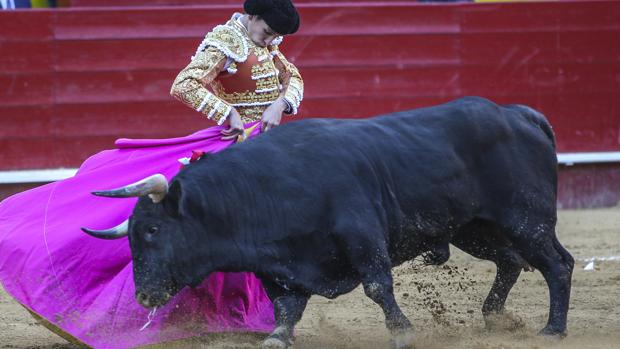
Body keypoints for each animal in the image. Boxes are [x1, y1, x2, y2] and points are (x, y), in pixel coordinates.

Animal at [83, 97, 576, 348]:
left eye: (153, 230)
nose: (145, 295)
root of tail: (520, 114)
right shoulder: (280, 265)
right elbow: (285, 307)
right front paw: (276, 340)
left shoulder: (362, 236)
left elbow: (377, 286)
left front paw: (403, 332)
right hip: (474, 228)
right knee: (511, 261)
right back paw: (494, 318)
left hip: (526, 218)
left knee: (557, 264)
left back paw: (552, 330)